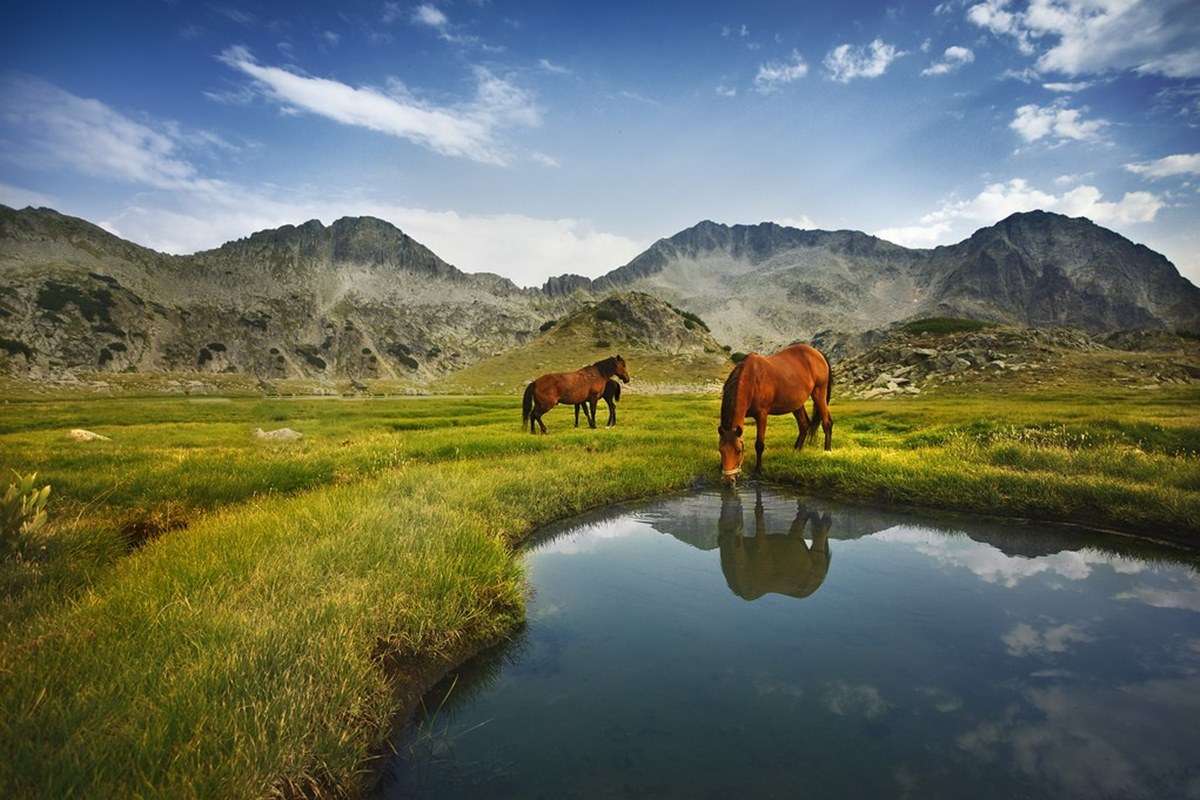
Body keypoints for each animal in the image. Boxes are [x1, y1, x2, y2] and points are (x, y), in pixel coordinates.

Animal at [715, 343, 830, 482]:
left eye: (739, 451)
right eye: (721, 450)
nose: (729, 479)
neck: (752, 379)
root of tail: (817, 353)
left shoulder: (762, 415)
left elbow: (759, 445)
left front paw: (758, 470)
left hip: (819, 393)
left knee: (827, 423)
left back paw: (827, 451)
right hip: (797, 404)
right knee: (804, 425)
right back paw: (795, 451)